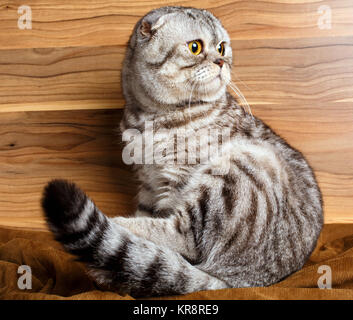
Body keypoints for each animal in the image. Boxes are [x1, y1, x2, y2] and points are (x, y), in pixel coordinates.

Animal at [41, 6, 322, 298]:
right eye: (195, 47)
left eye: (221, 48)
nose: (220, 62)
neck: (149, 118)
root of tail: (241, 282)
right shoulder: (149, 184)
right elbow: (146, 216)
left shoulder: (175, 180)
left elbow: (166, 231)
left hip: (244, 165)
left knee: (185, 236)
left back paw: (118, 226)